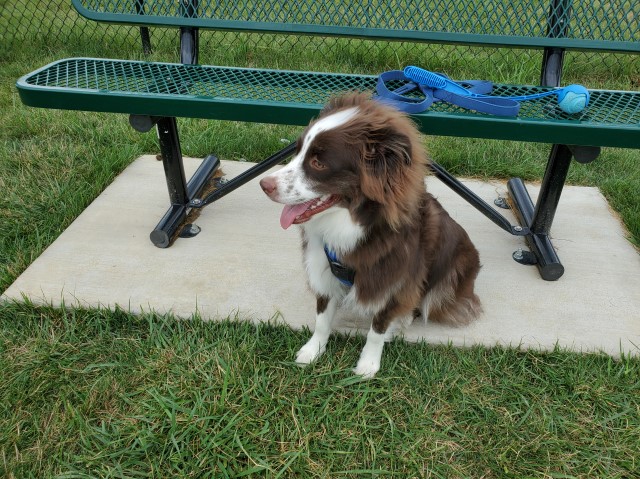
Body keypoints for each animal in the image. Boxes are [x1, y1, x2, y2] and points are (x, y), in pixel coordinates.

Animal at [260, 93, 480, 378]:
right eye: (297, 153)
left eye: (318, 163)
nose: (264, 185)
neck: (352, 224)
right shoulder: (322, 265)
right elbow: (322, 317)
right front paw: (312, 350)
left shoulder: (393, 277)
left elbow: (378, 327)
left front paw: (367, 365)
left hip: (454, 270)